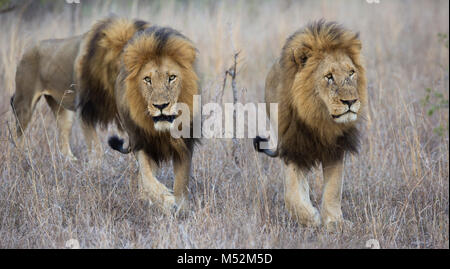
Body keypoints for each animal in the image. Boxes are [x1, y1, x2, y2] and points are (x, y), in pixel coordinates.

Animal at [10, 17, 148, 159]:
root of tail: (26, 51)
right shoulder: (85, 110)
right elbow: (96, 148)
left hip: (60, 108)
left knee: (63, 137)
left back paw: (70, 160)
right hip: (24, 104)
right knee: (18, 135)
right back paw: (19, 157)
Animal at [77, 22, 199, 213]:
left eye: (172, 77)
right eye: (147, 79)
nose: (161, 106)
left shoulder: (185, 144)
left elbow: (181, 181)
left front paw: (181, 207)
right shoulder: (141, 141)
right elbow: (147, 177)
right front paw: (166, 201)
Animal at [255, 19, 368, 228]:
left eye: (351, 73)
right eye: (329, 76)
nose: (350, 102)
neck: (318, 118)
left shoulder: (336, 148)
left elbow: (333, 188)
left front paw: (334, 222)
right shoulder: (292, 147)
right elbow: (292, 194)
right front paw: (310, 218)